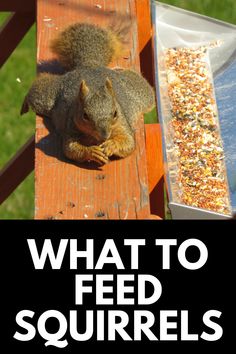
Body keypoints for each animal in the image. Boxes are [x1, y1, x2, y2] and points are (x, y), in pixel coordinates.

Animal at [21, 22, 156, 164]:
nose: (105, 135)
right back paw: (25, 103)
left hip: (139, 93)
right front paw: (92, 152)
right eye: (85, 115)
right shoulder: (71, 126)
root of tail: (89, 64)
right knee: (38, 88)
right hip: (47, 96)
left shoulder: (122, 124)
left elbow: (128, 142)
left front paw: (111, 145)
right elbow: (71, 149)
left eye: (115, 113)